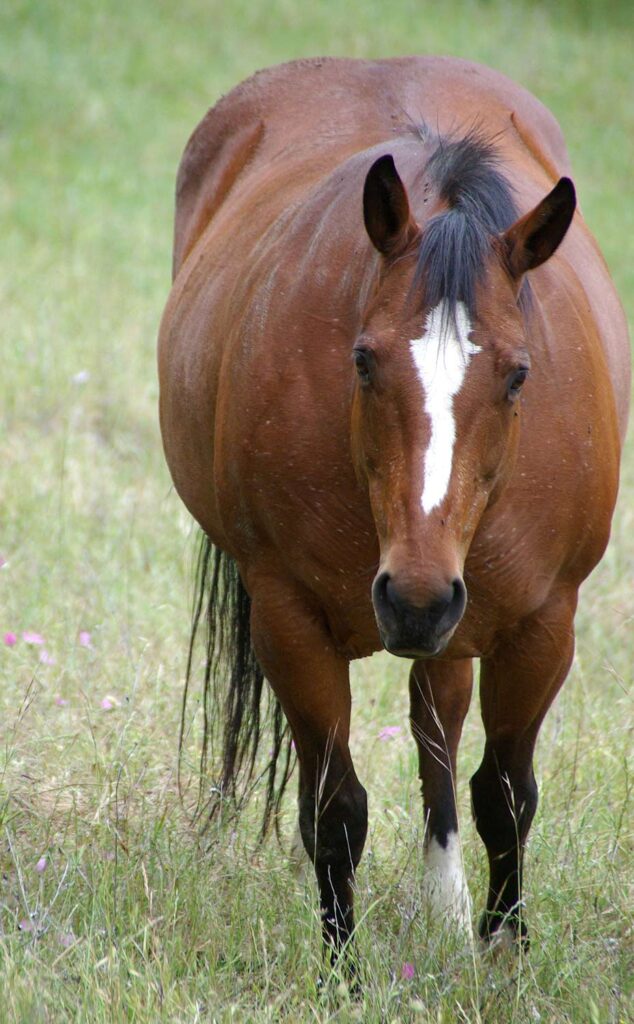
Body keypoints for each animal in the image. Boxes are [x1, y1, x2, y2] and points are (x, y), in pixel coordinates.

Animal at [158, 56, 630, 976]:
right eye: (363, 360)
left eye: (519, 375)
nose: (415, 598)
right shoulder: (289, 621)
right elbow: (335, 811)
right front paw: (341, 975)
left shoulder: (543, 623)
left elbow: (505, 795)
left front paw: (503, 954)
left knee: (437, 725)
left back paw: (445, 904)